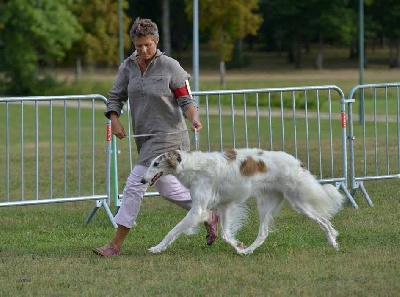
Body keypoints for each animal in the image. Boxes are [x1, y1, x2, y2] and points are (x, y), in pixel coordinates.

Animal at [142, 148, 346, 254]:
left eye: (155, 164)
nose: (142, 180)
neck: (194, 166)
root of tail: (298, 162)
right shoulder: (225, 205)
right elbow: (226, 235)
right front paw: (239, 246)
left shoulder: (198, 210)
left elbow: (173, 231)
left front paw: (157, 248)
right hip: (265, 204)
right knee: (263, 233)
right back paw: (248, 251)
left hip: (298, 203)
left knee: (325, 221)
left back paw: (334, 243)